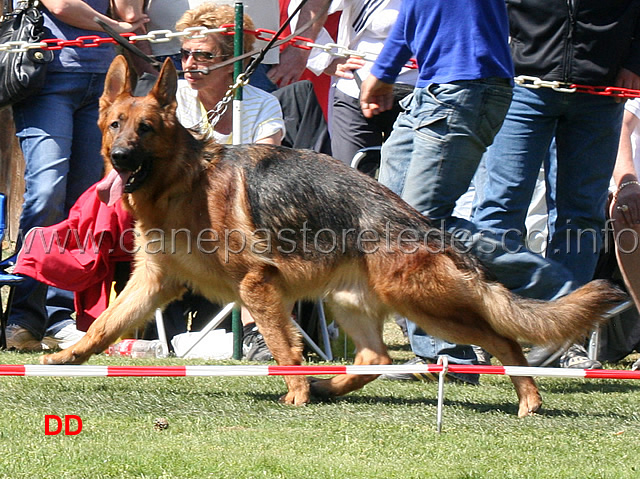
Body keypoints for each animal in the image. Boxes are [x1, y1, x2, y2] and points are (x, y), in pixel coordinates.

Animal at [41, 55, 624, 416]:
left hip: (421, 302)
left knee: (501, 340)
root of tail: (426, 227)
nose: (120, 159)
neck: (182, 179)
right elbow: (103, 328)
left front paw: (296, 391)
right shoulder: (154, 284)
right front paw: (65, 360)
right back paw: (331, 385)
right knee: (378, 359)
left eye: (146, 129)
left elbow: (283, 346)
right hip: (350, 302)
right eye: (114, 125)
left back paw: (529, 398)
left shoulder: (257, 286)